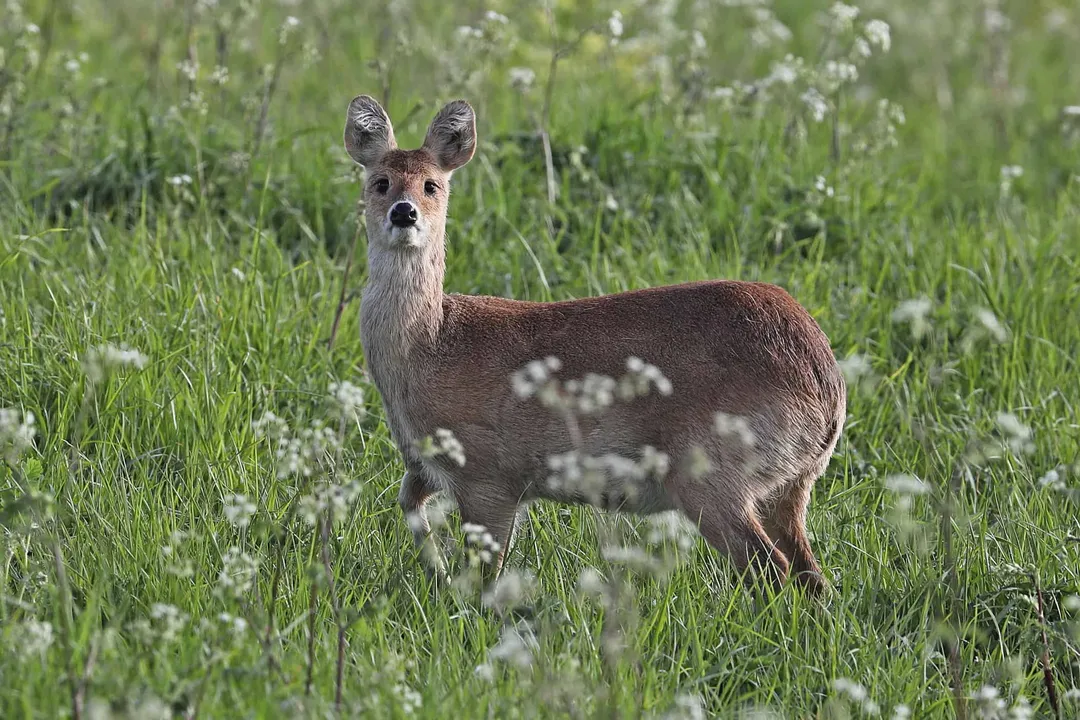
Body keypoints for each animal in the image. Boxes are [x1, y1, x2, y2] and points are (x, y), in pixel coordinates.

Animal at [343, 94, 846, 597]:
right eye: (380, 182)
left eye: (431, 185)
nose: (404, 212)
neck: (429, 344)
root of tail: (830, 390)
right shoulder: (422, 465)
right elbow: (407, 503)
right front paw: (437, 574)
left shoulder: (489, 474)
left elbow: (487, 572)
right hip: (787, 486)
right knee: (811, 575)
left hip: (711, 470)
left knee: (771, 568)